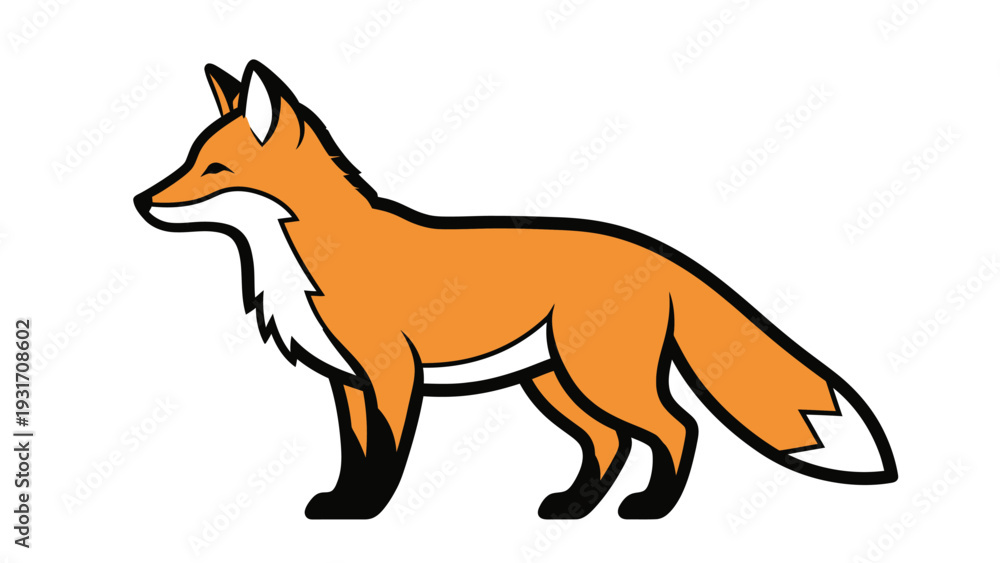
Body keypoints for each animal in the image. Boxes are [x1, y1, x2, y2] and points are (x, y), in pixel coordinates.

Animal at [134, 60, 896, 520]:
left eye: (216, 168)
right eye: (188, 159)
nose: (141, 200)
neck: (306, 256)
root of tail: (661, 253)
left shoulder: (390, 375)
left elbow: (385, 457)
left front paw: (370, 510)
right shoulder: (345, 383)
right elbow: (354, 455)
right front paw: (342, 504)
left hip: (599, 378)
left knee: (678, 428)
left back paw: (650, 509)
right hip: (555, 384)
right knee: (610, 445)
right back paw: (575, 507)